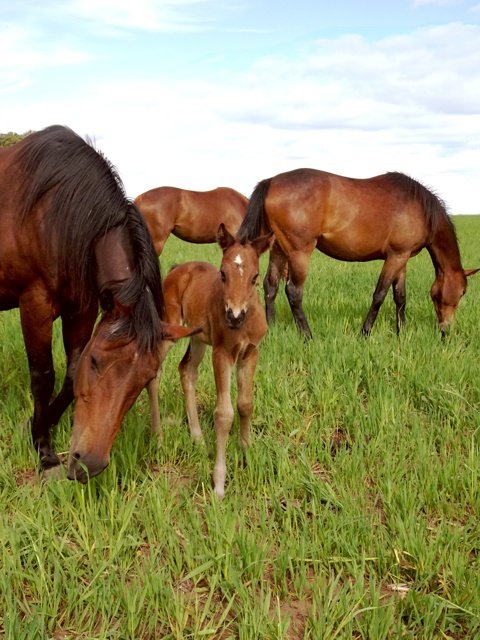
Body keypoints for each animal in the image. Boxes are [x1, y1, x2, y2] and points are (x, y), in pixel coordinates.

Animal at [0, 125, 195, 482]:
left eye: (145, 379)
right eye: (96, 362)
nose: (88, 464)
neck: (52, 212)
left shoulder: (82, 309)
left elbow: (69, 375)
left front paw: (36, 425)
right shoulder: (34, 302)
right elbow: (43, 376)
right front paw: (44, 450)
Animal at [147, 225, 274, 500]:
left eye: (255, 276)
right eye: (223, 273)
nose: (234, 316)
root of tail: (176, 270)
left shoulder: (250, 353)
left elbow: (245, 404)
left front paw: (246, 448)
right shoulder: (222, 353)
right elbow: (224, 414)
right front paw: (219, 482)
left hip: (197, 338)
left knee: (186, 370)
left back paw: (197, 437)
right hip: (170, 328)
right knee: (155, 373)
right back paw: (158, 436)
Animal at [238, 170, 478, 340]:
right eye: (463, 292)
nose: (446, 330)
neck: (420, 208)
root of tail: (271, 181)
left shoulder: (402, 258)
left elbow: (400, 297)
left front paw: (401, 332)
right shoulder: (395, 257)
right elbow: (380, 295)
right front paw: (365, 332)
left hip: (278, 249)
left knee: (271, 286)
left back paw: (271, 328)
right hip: (299, 252)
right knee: (293, 291)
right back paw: (307, 336)